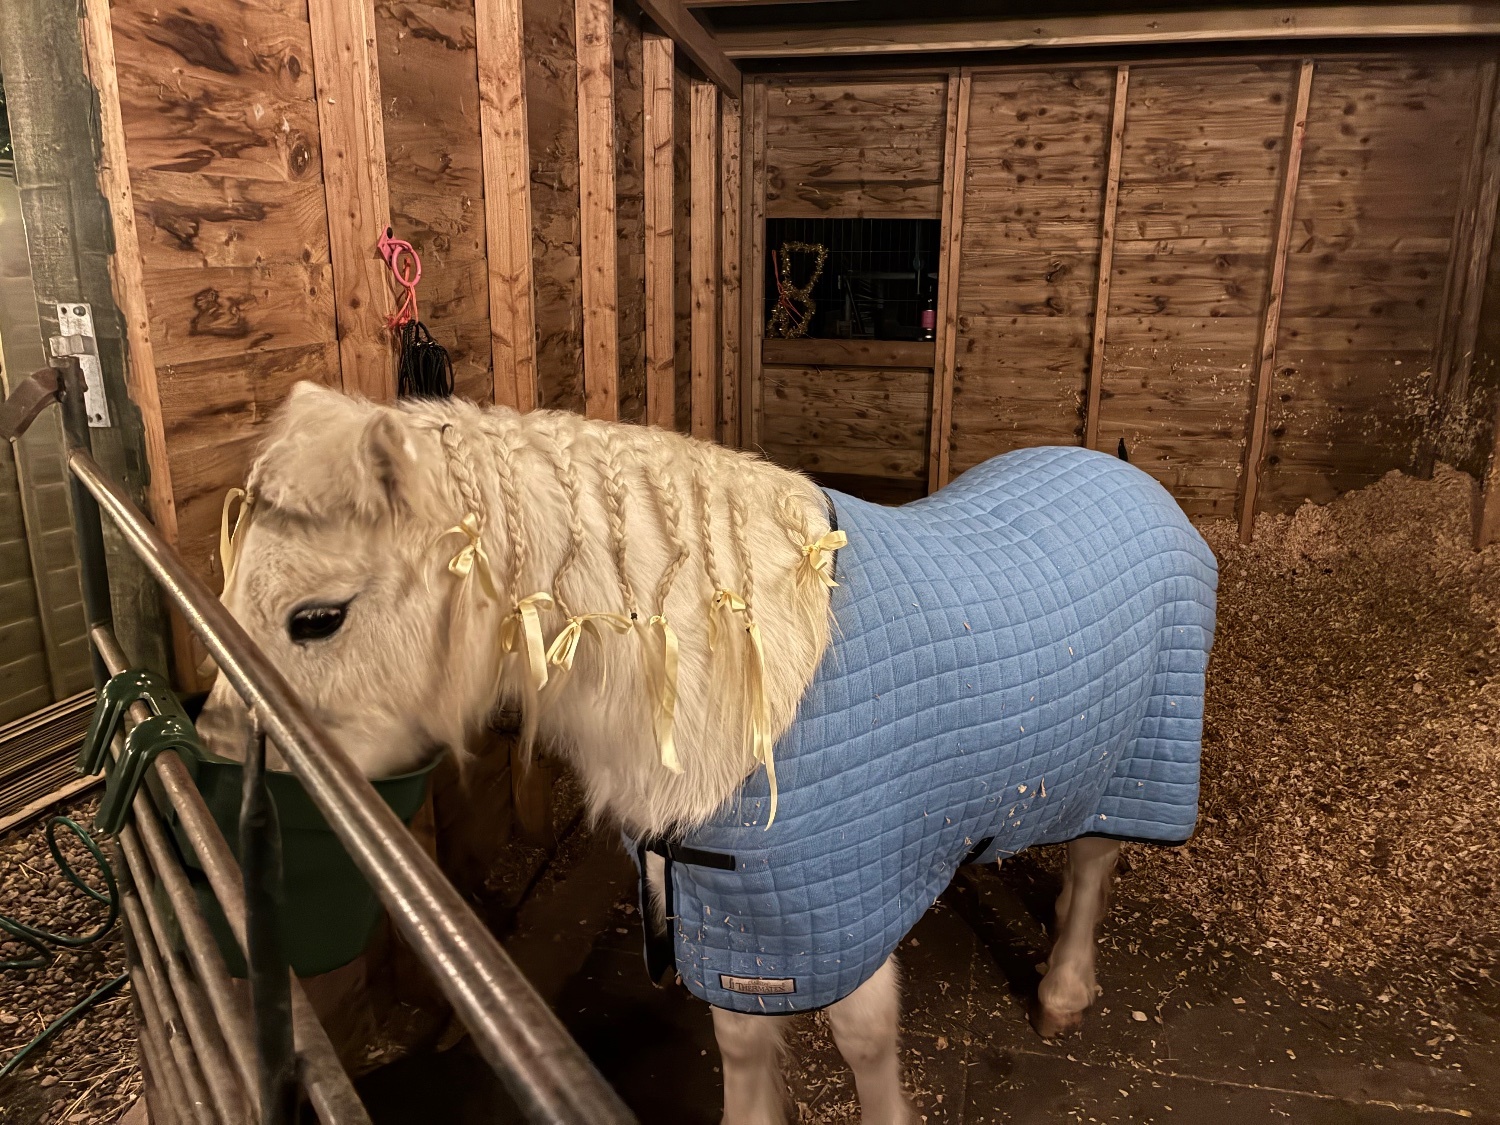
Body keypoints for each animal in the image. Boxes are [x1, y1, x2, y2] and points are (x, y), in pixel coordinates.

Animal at [197, 381, 1218, 1125]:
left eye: (317, 618)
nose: (218, 746)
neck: (734, 661)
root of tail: (1124, 471)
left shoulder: (835, 908)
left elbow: (864, 1038)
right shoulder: (730, 906)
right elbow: (741, 1042)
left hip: (1144, 758)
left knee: (1095, 858)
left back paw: (1064, 989)